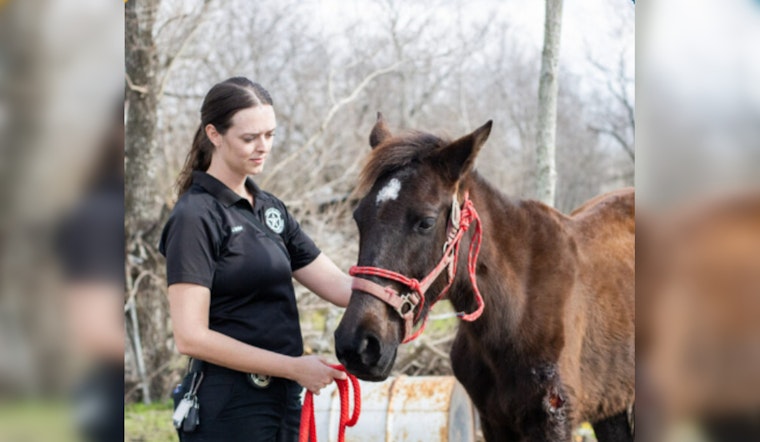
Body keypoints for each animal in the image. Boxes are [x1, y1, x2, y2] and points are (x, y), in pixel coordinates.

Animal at [334, 114, 635, 441]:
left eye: (425, 222)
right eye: (358, 218)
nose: (358, 345)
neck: (516, 311)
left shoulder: (554, 422)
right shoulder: (494, 421)